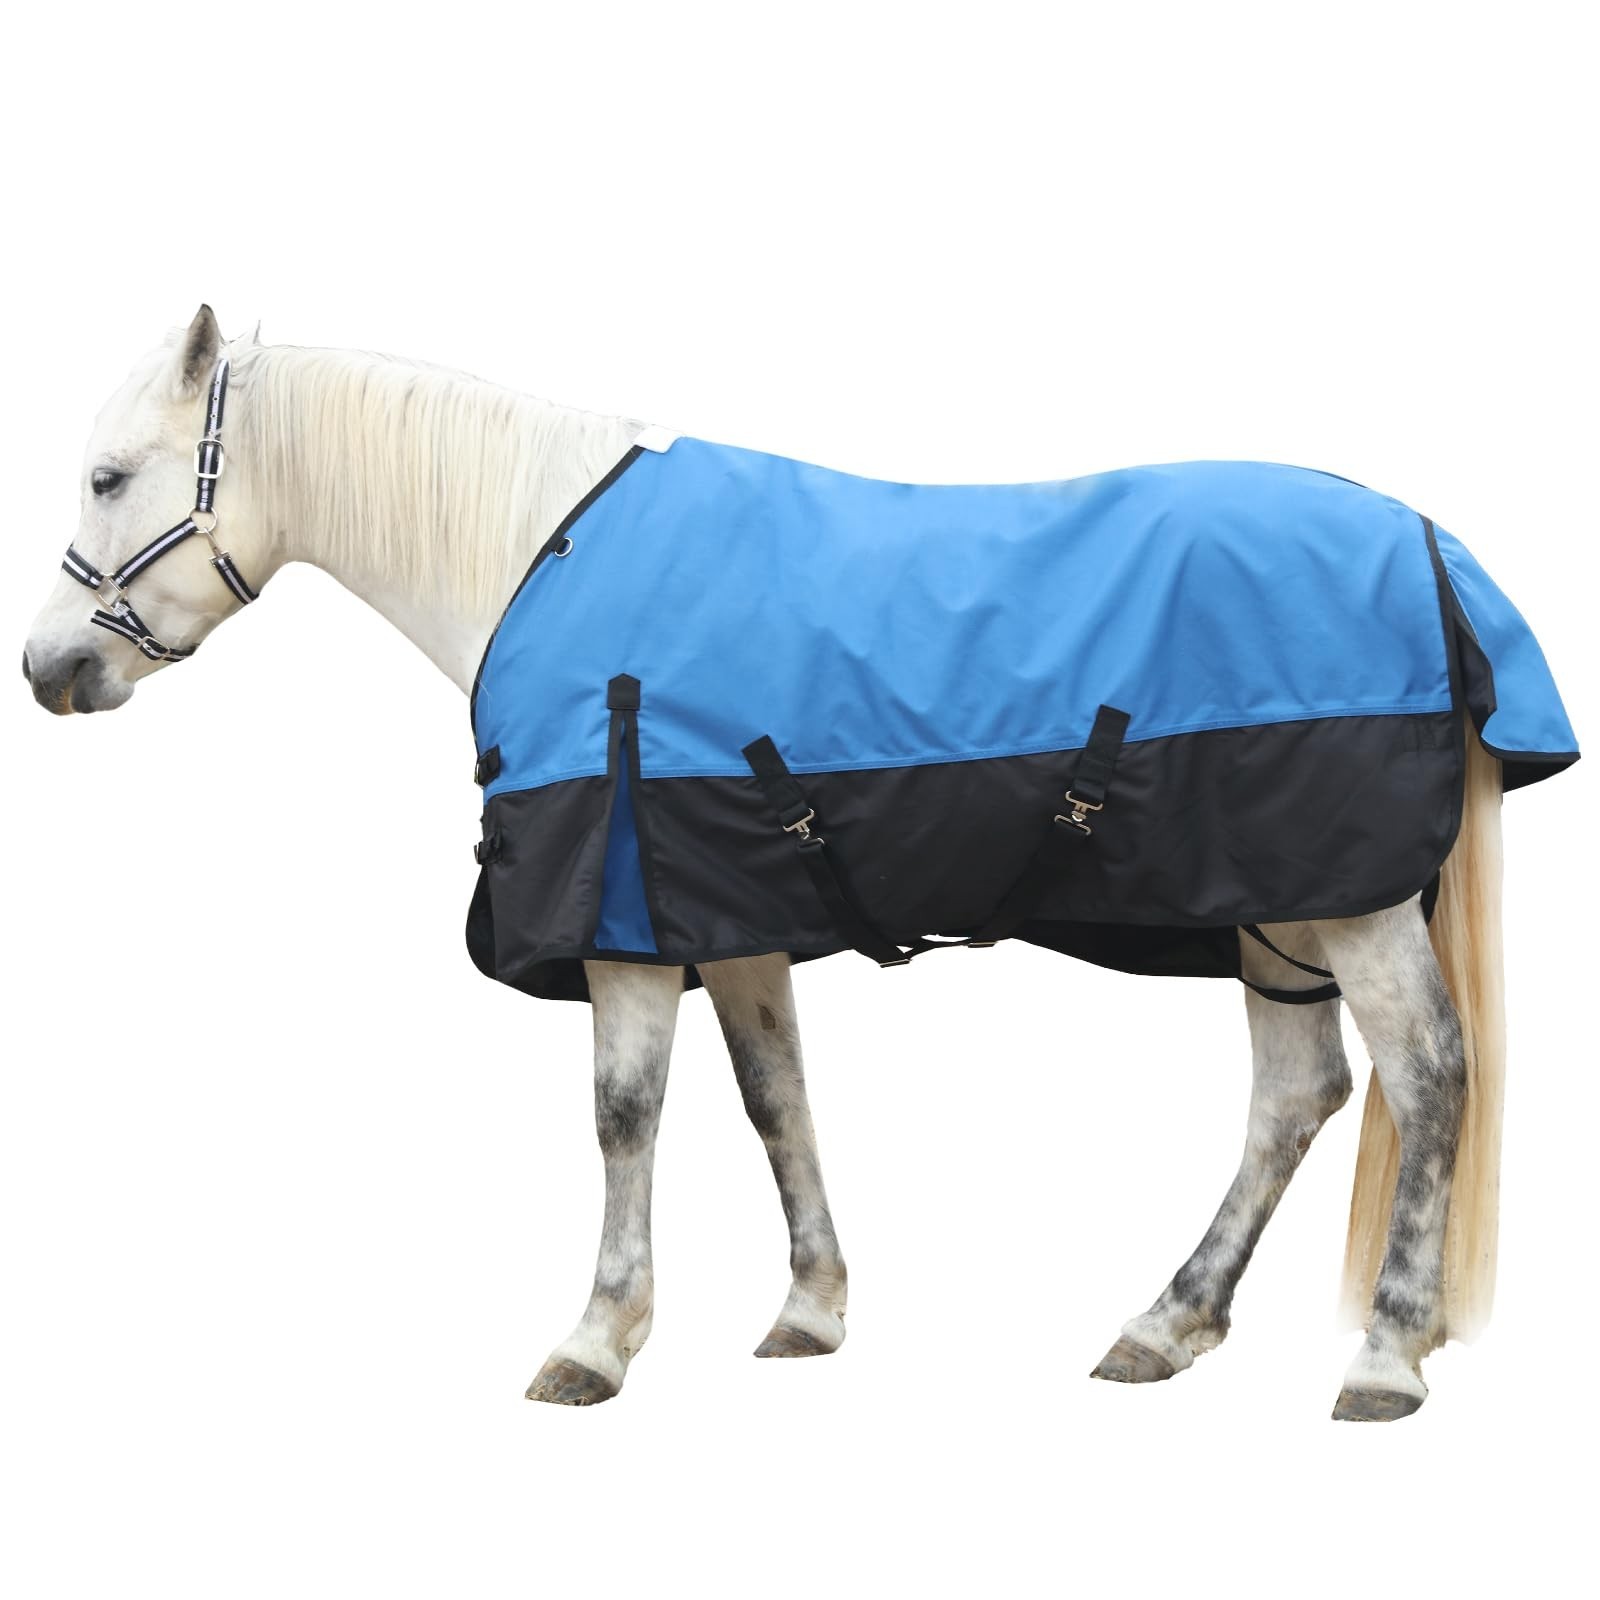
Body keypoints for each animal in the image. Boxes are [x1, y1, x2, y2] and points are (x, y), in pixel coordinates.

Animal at [23, 307, 1573, 1421]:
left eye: (107, 477)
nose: (48, 670)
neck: (539, 546)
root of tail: (1434, 553)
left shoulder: (626, 917)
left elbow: (623, 1115)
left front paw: (597, 1338)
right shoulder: (729, 911)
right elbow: (775, 1099)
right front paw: (810, 1311)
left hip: (1346, 903)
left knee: (1429, 1077)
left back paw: (1381, 1358)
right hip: (1273, 910)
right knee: (1297, 1095)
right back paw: (1165, 1323)